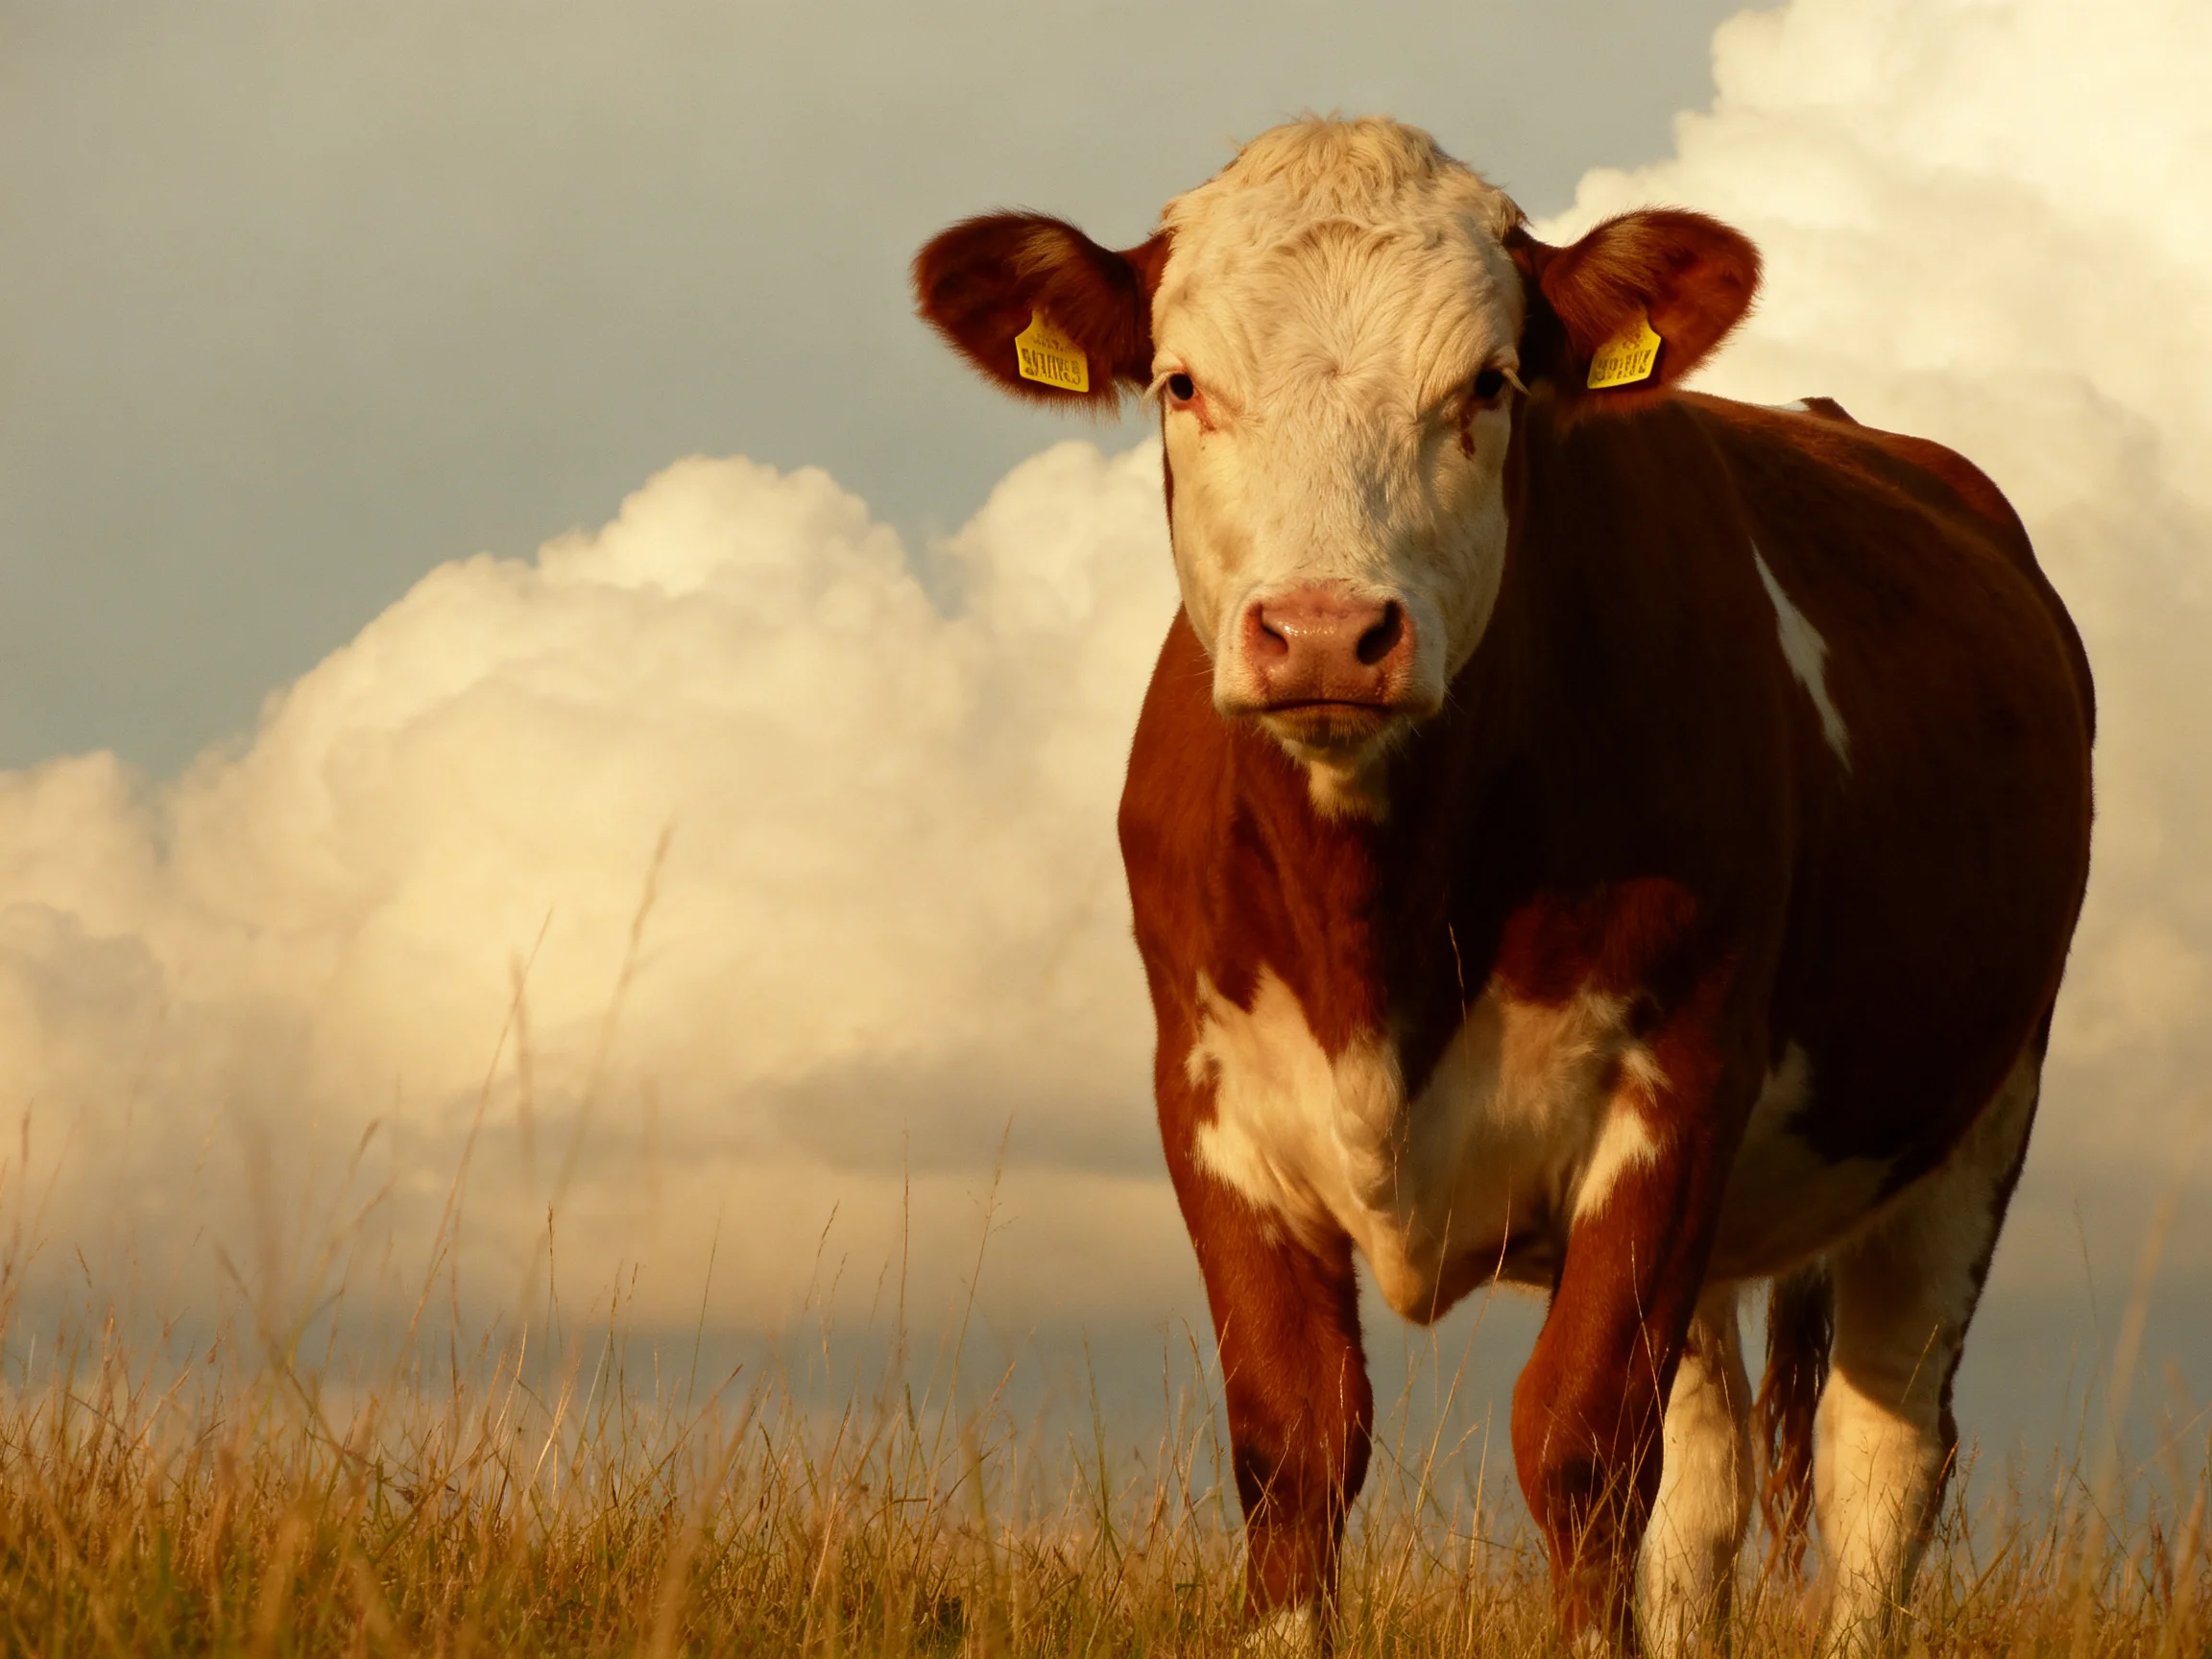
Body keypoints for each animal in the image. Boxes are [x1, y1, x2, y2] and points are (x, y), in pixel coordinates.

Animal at [913, 117, 2093, 1654]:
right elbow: (1296, 1445)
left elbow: (1583, 1449)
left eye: (1488, 384)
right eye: (1181, 383)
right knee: (1707, 1486)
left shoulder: (1675, 1088)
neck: (1382, 927)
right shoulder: (1211, 1100)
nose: (1325, 634)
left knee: (1879, 1460)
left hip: (1977, 1110)